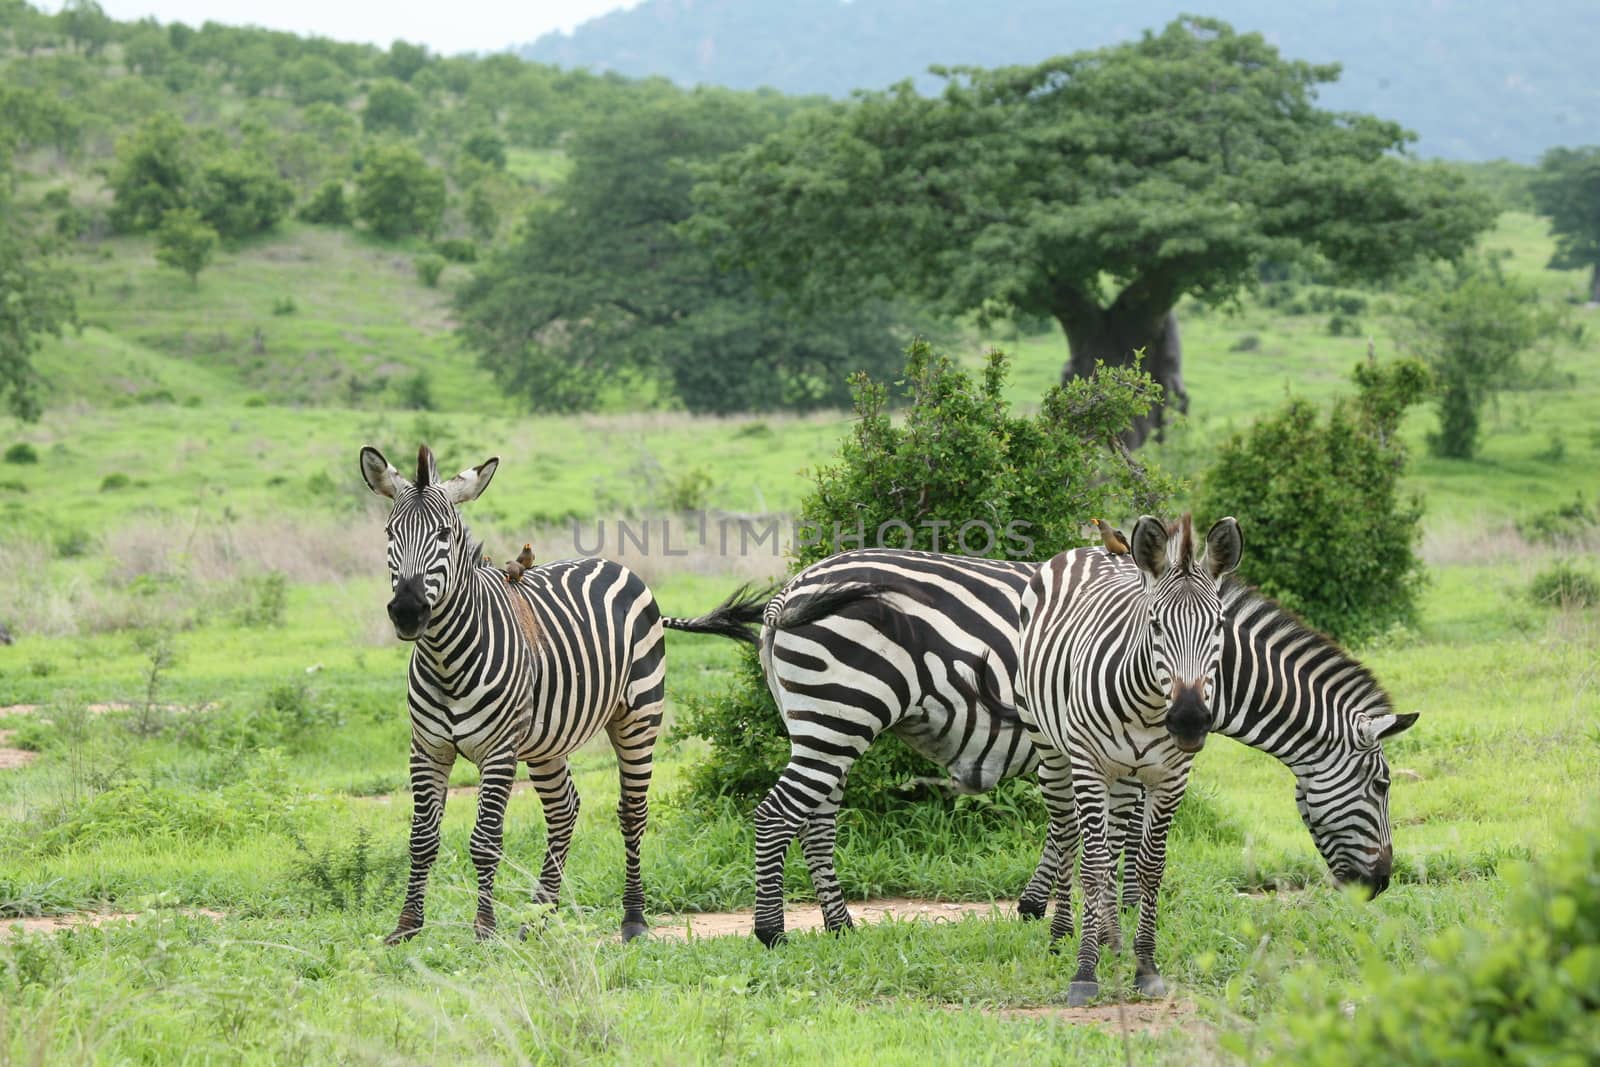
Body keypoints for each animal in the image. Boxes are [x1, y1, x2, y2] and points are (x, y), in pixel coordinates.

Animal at [358, 447, 768, 947]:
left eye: (445, 535)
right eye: (390, 533)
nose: (407, 611)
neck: (445, 659)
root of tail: (616, 565)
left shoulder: (499, 752)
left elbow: (486, 839)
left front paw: (484, 931)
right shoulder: (427, 749)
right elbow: (421, 839)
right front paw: (405, 928)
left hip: (638, 718)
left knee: (632, 812)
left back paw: (633, 920)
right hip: (546, 742)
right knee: (564, 810)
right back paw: (540, 917)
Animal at [745, 543, 1414, 953]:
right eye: (1382, 786)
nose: (1383, 883)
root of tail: (790, 589)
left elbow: (1081, 833)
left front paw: (1048, 909)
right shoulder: (1123, 751)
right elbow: (1116, 840)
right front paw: (1107, 917)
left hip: (825, 722)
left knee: (817, 821)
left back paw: (840, 926)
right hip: (843, 709)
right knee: (777, 814)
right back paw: (772, 932)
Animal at [1004, 511, 1241, 1004]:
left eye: (1218, 626)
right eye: (1154, 625)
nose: (1189, 720)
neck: (1150, 707)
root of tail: (1096, 548)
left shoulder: (1170, 777)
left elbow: (1149, 867)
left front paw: (1144, 965)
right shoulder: (1090, 768)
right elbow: (1093, 867)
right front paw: (1084, 972)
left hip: (1127, 778)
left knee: (1113, 844)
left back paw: (1109, 938)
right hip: (1053, 752)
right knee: (1067, 836)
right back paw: (1062, 934)